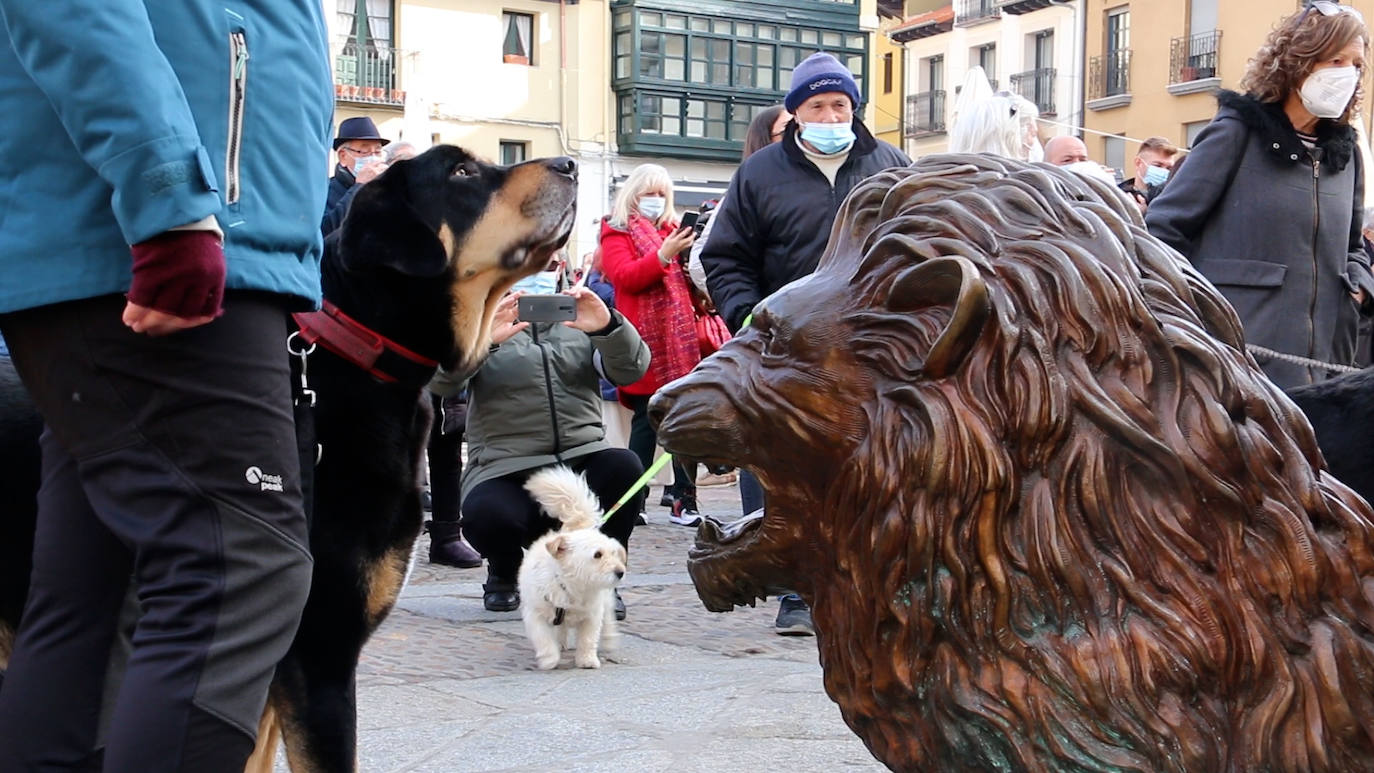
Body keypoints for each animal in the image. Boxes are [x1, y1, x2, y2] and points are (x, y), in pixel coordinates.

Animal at [516, 466, 626, 672]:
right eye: (597, 555)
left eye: (614, 553)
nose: (620, 572)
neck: (573, 588)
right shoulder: (535, 615)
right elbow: (543, 639)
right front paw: (549, 659)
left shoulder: (593, 615)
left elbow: (588, 639)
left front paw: (586, 660)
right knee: (560, 629)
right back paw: (560, 644)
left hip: (606, 601)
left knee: (607, 618)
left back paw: (609, 638)